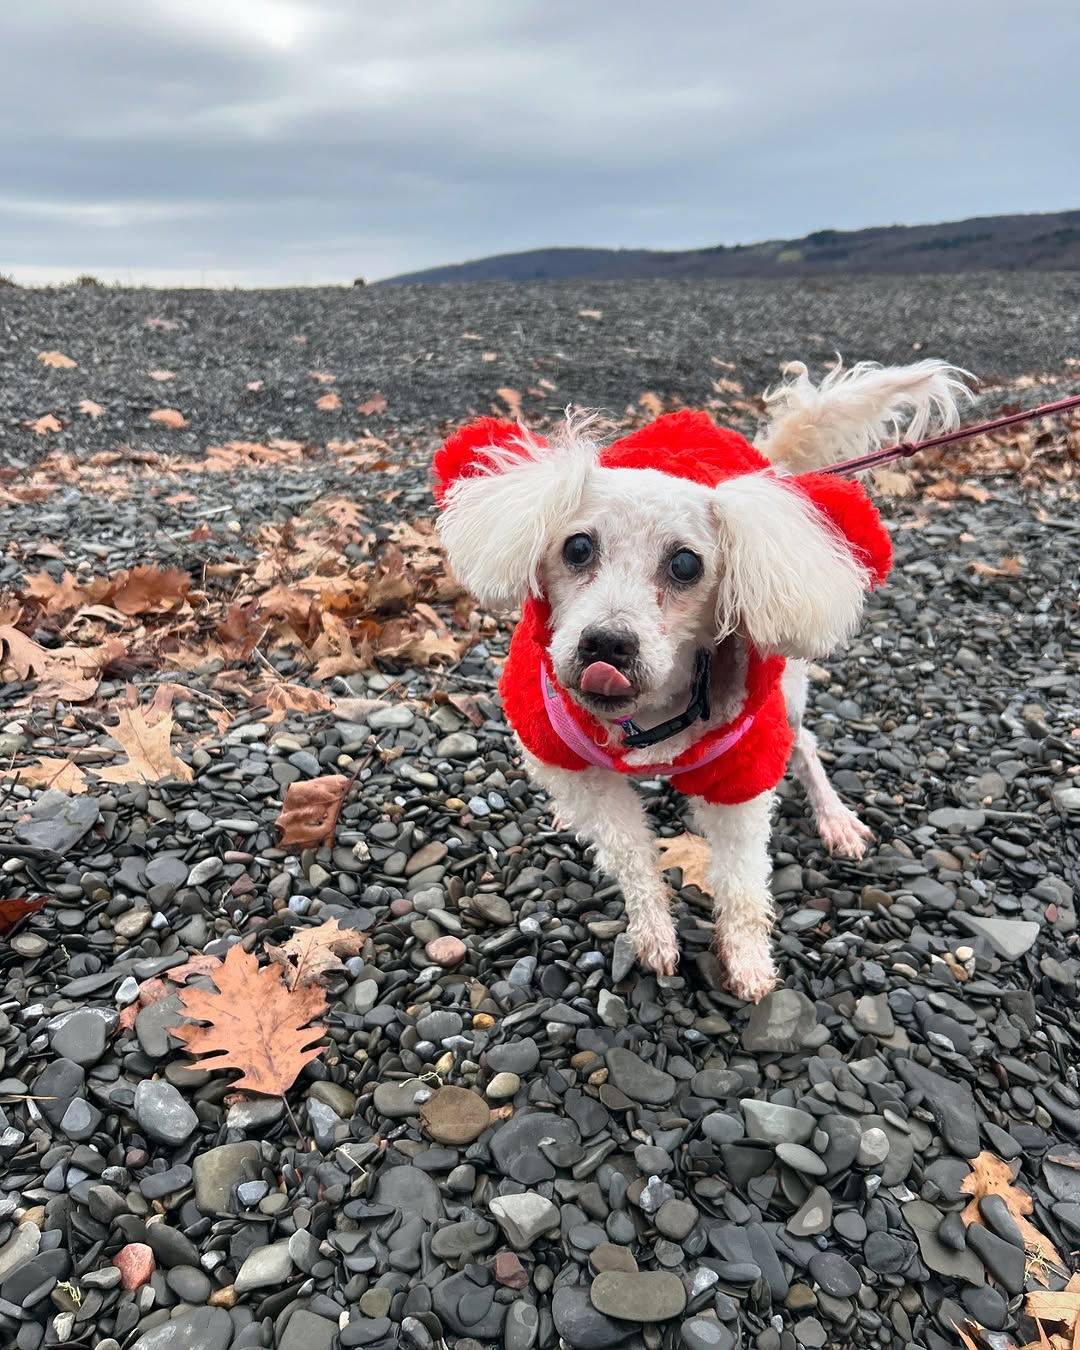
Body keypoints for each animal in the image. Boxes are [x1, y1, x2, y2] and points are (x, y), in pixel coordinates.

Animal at [429, 359, 972, 1004]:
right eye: (577, 547)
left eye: (686, 564)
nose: (605, 645)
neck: (648, 716)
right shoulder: (565, 750)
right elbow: (628, 852)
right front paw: (654, 932)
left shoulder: (743, 766)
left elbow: (741, 875)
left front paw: (749, 961)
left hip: (786, 694)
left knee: (806, 744)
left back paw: (834, 818)